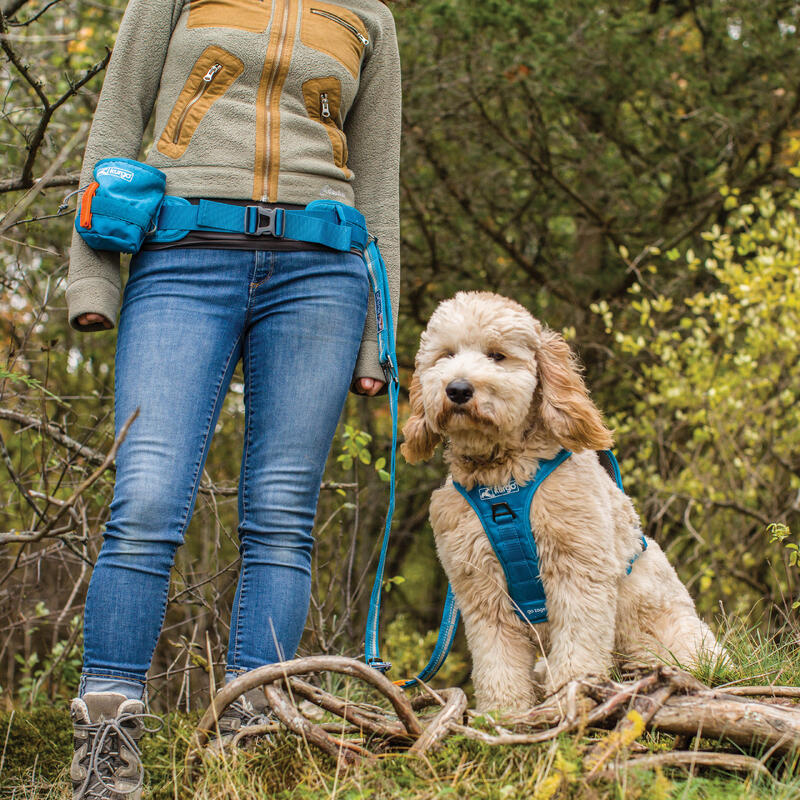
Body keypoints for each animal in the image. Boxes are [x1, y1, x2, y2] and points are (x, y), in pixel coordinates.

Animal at [404, 290, 720, 708]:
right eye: (446, 355)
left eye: (497, 355)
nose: (457, 389)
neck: (501, 478)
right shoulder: (480, 586)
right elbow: (496, 657)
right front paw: (504, 710)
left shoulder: (577, 568)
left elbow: (579, 639)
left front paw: (573, 689)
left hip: (679, 642)